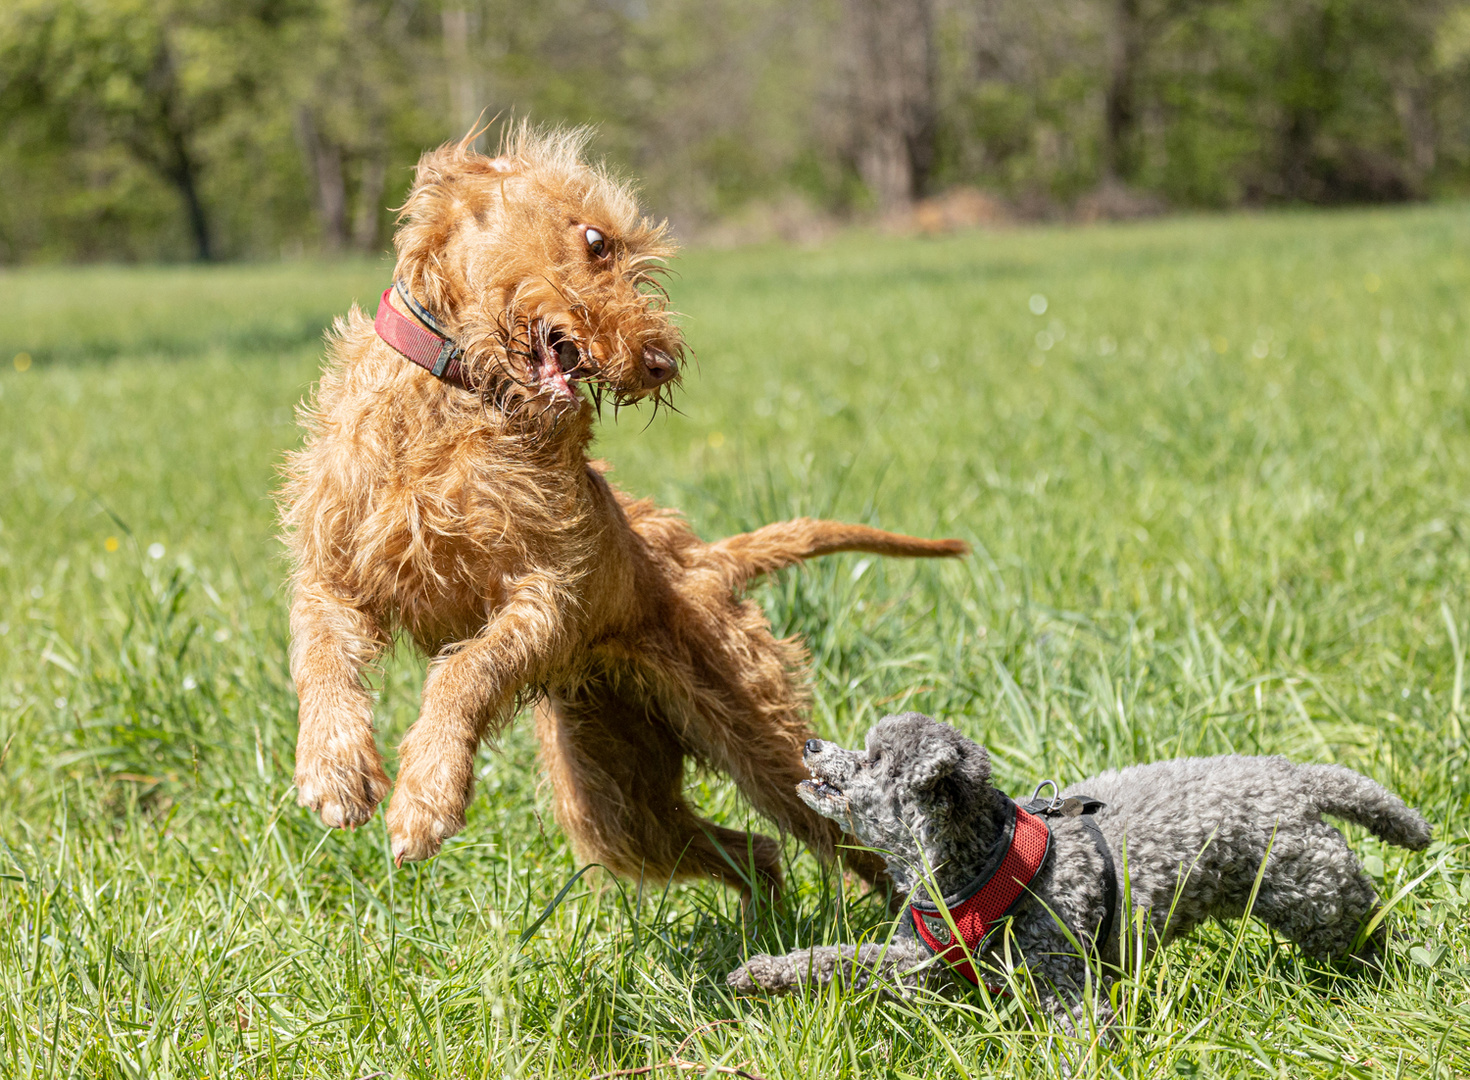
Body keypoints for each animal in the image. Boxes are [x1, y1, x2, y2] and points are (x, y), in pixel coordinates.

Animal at [277, 126, 964, 899]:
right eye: (597, 240)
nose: (662, 362)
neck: (458, 400)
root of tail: (708, 561)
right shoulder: (333, 576)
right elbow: (319, 655)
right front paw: (334, 768)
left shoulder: (549, 593)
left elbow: (464, 671)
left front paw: (427, 794)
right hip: (615, 800)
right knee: (752, 851)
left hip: (759, 746)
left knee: (854, 845)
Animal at [729, 711, 1428, 1028]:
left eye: (873, 759)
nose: (810, 744)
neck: (983, 867)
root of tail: (1290, 773)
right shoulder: (920, 960)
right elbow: (838, 958)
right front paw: (764, 973)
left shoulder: (1063, 979)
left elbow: (1080, 1031)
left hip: (1316, 893)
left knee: (1366, 925)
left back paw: (1385, 974)